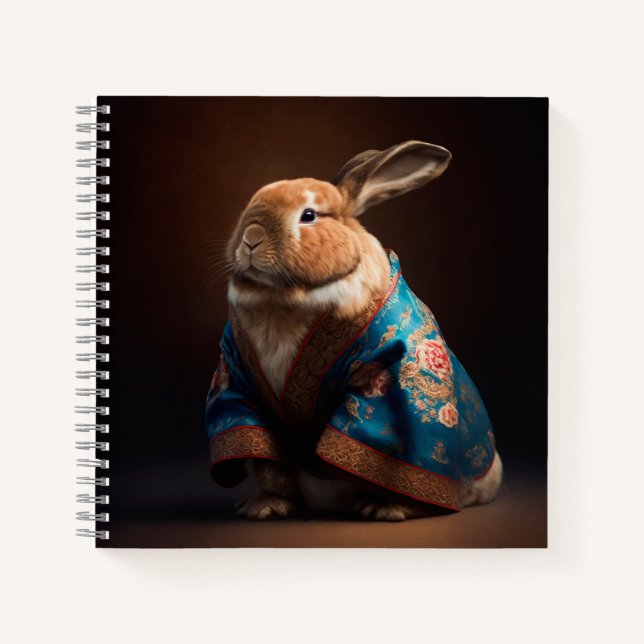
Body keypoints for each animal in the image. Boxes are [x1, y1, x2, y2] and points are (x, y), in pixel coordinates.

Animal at [206, 141, 503, 521]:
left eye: (308, 215)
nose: (250, 238)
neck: (285, 298)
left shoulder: (388, 380)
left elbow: (384, 448)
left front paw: (388, 508)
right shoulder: (237, 382)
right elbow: (266, 461)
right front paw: (263, 507)